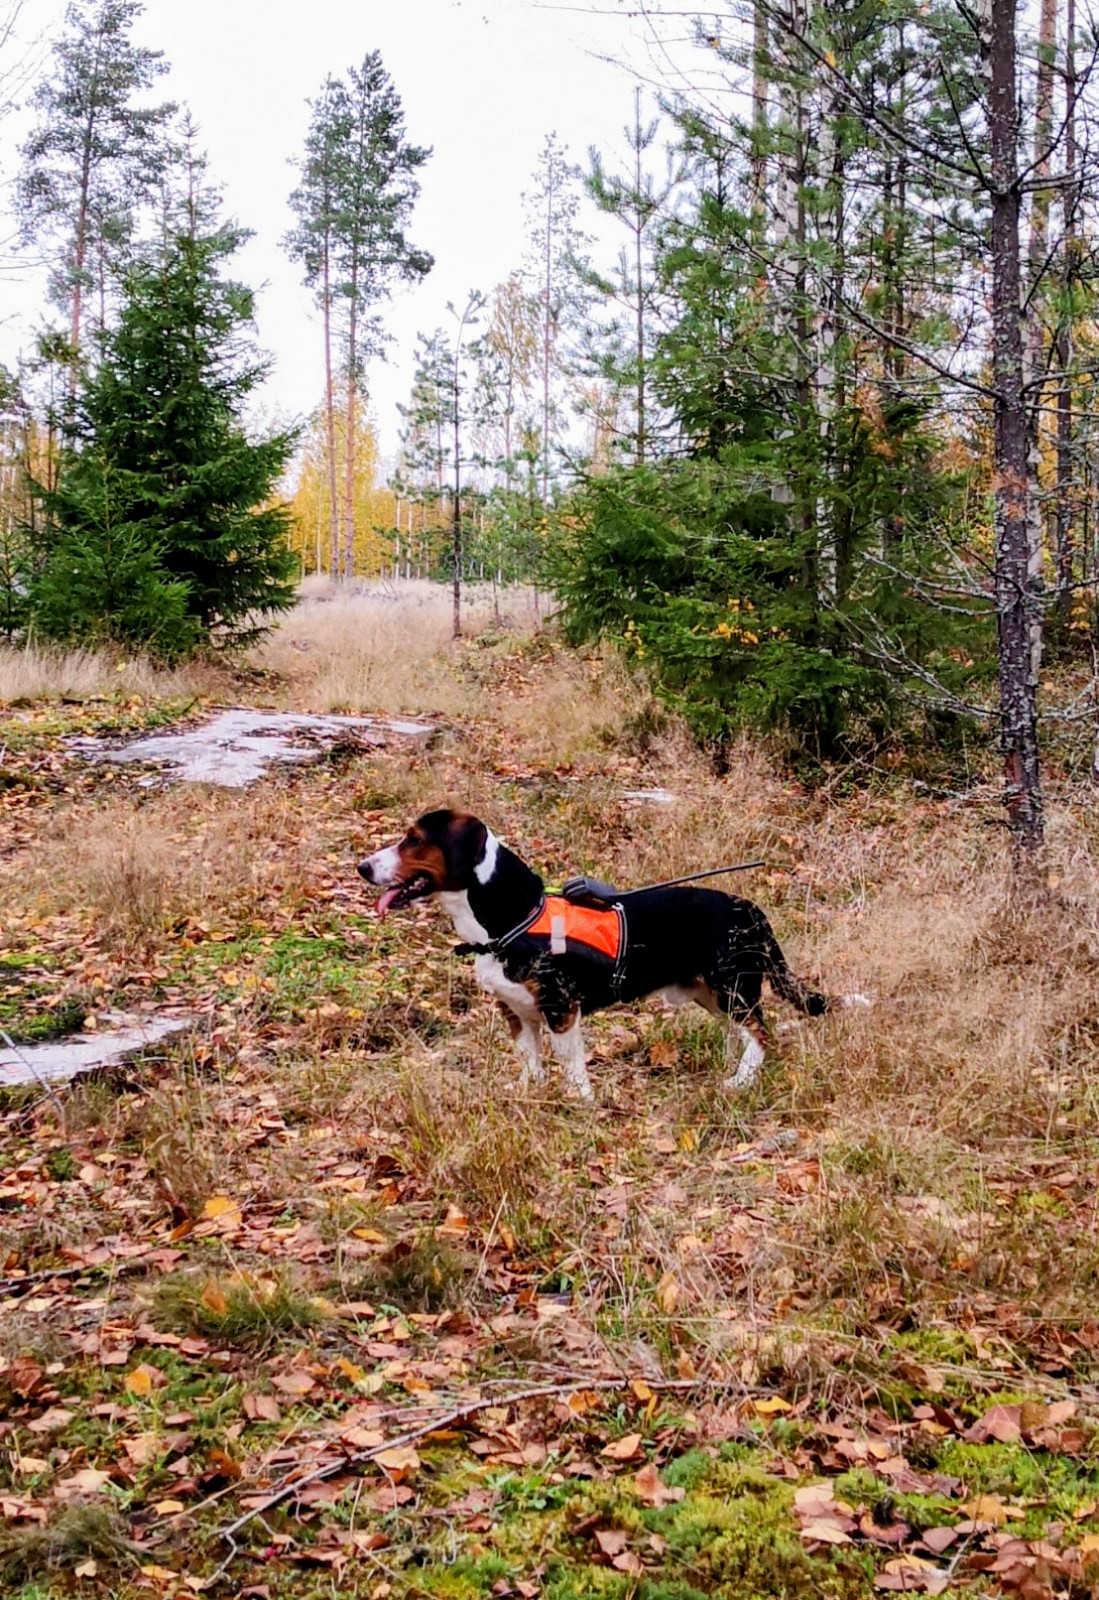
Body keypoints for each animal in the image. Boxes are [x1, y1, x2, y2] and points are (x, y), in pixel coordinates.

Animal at [359, 808, 846, 1099]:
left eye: (413, 839)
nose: (362, 867)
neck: (511, 918)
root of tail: (750, 908)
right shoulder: (517, 1013)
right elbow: (530, 1061)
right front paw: (530, 1091)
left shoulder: (561, 1009)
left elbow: (571, 1065)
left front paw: (580, 1102)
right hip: (713, 993)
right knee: (741, 1032)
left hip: (733, 989)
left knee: (763, 1037)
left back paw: (739, 1081)